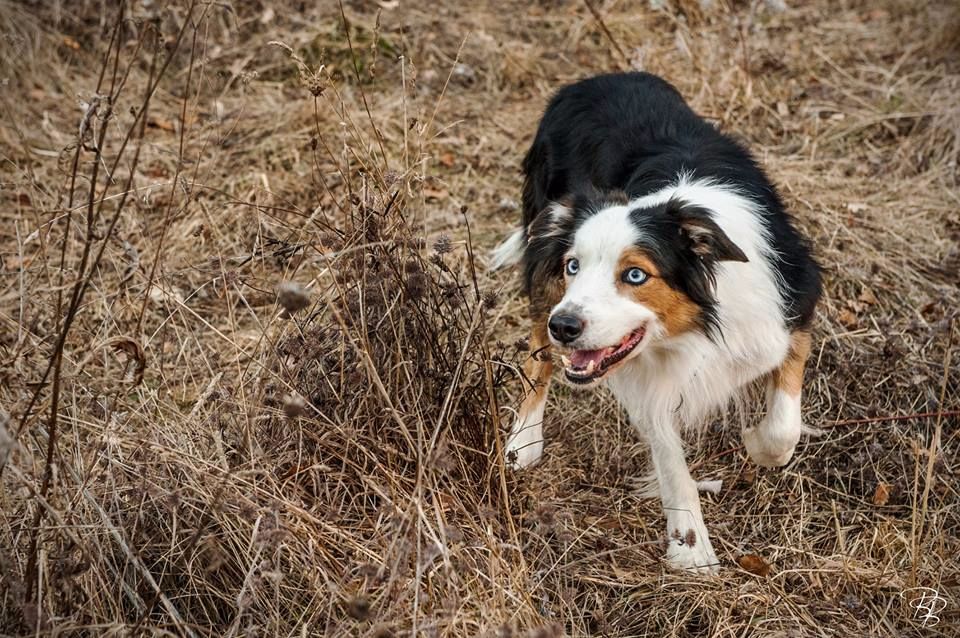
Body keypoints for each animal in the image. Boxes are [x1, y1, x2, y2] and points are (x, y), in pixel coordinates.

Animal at [492, 72, 820, 572]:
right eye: (573, 266)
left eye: (635, 275)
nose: (564, 327)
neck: (697, 328)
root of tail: (592, 79)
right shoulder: (643, 377)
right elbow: (670, 458)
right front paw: (692, 548)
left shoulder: (791, 310)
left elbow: (783, 429)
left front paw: (753, 442)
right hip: (545, 265)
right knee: (537, 349)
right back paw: (523, 440)